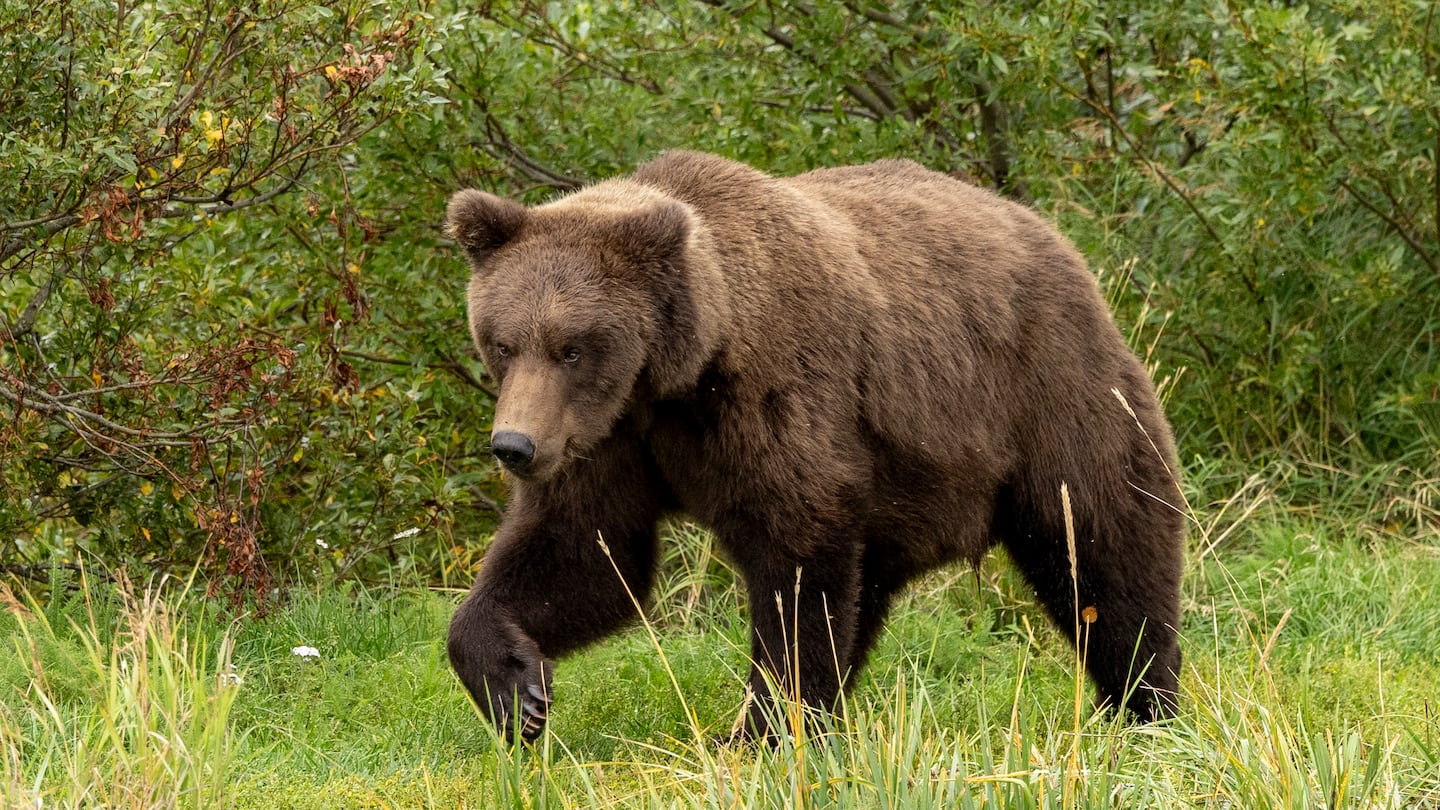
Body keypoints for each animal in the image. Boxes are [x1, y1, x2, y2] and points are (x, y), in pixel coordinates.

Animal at [446, 149, 1180, 737]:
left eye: (571, 347)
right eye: (503, 342)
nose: (514, 446)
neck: (678, 377)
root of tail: (1051, 235)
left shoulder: (775, 398)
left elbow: (796, 565)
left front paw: (764, 732)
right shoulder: (608, 437)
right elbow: (585, 552)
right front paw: (517, 692)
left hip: (1047, 395)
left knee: (1105, 546)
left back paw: (1147, 705)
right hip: (901, 490)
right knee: (869, 590)